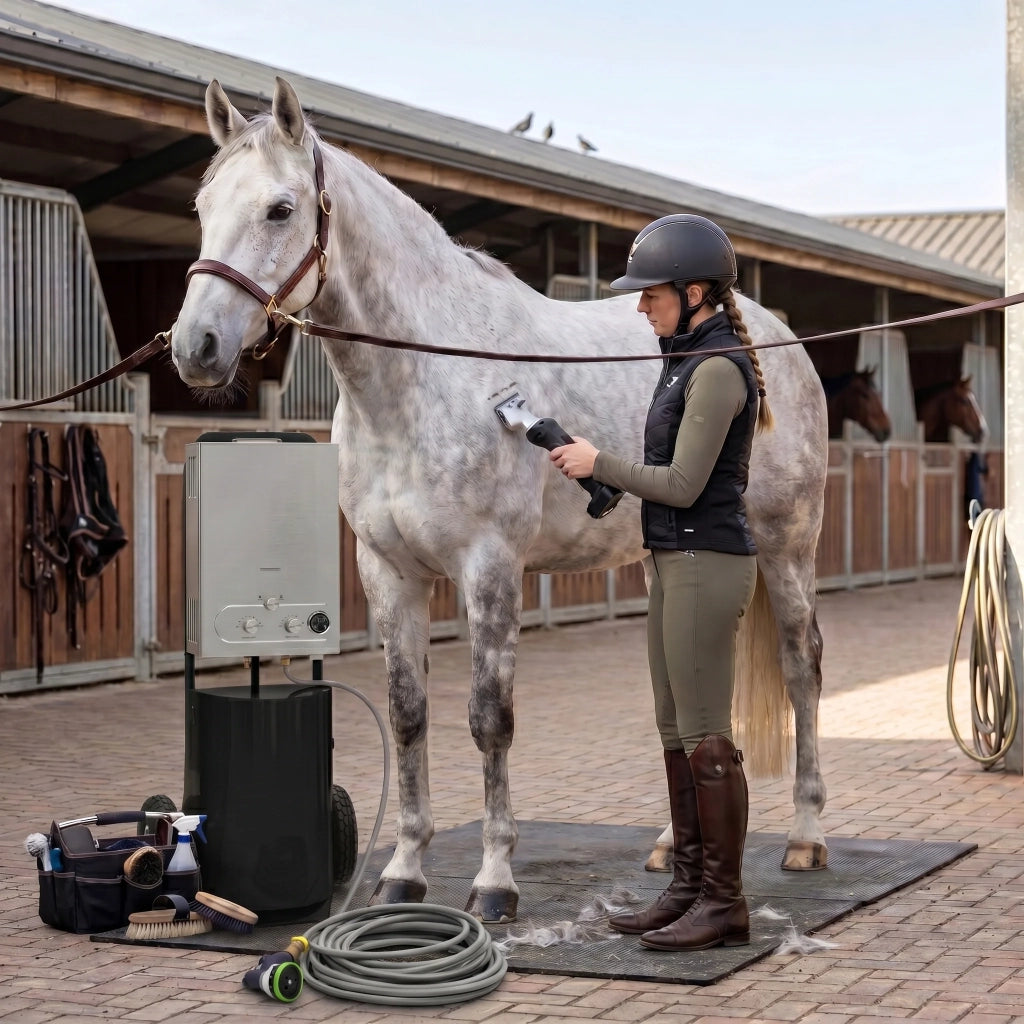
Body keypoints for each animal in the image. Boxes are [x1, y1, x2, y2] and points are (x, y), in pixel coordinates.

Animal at [169, 77, 830, 923]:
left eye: (281, 209)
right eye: (202, 204)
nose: (195, 348)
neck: (424, 377)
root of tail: (777, 339)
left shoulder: (489, 567)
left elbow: (490, 720)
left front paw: (493, 882)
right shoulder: (389, 571)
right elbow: (408, 716)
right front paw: (404, 871)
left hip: (786, 546)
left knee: (801, 665)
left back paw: (807, 836)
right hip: (670, 562)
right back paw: (663, 844)